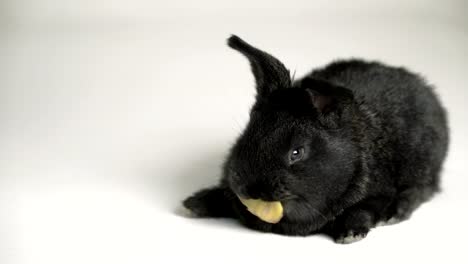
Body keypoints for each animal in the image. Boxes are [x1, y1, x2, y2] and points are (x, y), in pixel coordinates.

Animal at [182, 35, 446, 243]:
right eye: (247, 134)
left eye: (296, 152)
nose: (251, 188)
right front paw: (195, 203)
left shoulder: (378, 194)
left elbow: (362, 210)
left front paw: (350, 234)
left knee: (421, 190)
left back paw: (395, 213)